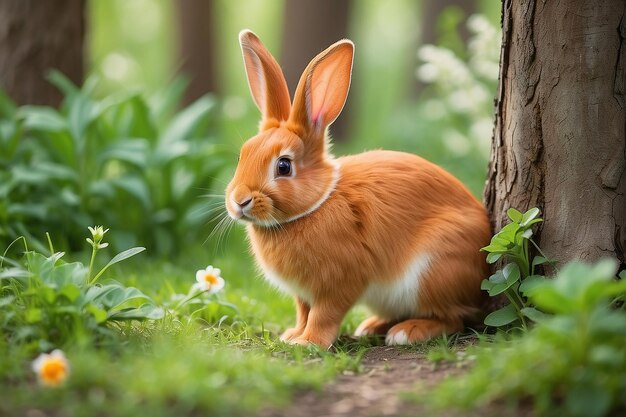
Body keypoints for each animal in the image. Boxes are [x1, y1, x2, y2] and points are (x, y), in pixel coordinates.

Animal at [222, 30, 490, 348]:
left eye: (284, 166)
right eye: (243, 155)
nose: (240, 201)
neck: (316, 205)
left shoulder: (339, 281)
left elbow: (323, 314)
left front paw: (309, 342)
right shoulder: (303, 294)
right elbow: (303, 312)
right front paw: (293, 335)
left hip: (433, 273)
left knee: (453, 318)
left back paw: (407, 332)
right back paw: (372, 327)